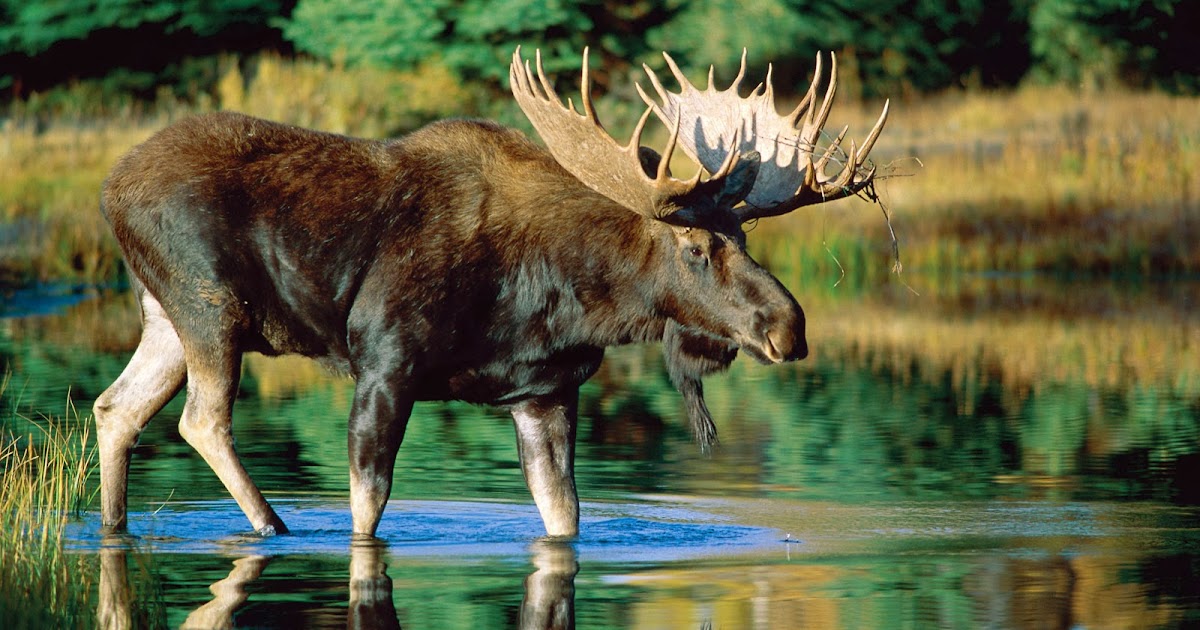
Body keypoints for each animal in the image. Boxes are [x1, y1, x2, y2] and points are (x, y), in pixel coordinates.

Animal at [93, 47, 888, 539]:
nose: (789, 327)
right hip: (208, 303)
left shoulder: (545, 390)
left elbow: (564, 517)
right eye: (696, 248)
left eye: (745, 238)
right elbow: (367, 509)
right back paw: (272, 527)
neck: (561, 297)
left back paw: (114, 525)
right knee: (201, 419)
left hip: (164, 314)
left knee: (115, 407)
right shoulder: (384, 361)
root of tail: (111, 188)